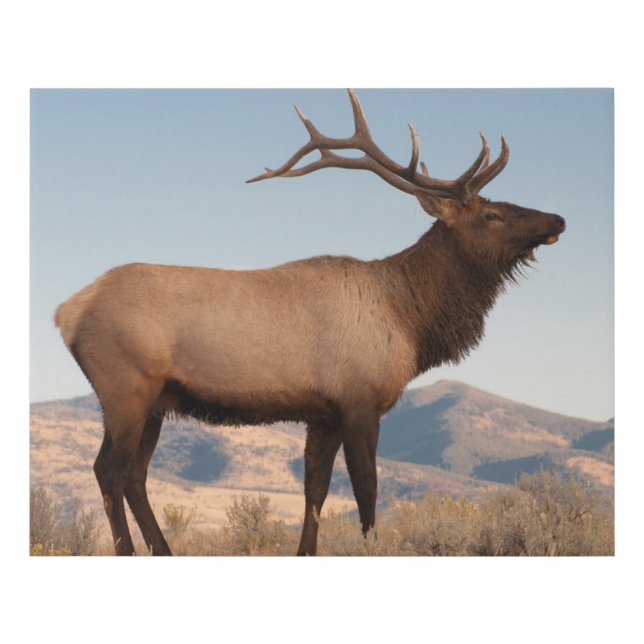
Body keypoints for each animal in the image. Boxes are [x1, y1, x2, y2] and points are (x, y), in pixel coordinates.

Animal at [55, 89, 565, 556]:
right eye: (493, 214)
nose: (557, 218)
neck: (409, 319)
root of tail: (67, 312)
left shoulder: (324, 414)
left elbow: (314, 492)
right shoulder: (360, 400)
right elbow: (366, 489)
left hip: (156, 402)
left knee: (136, 476)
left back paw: (163, 551)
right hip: (125, 389)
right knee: (109, 471)